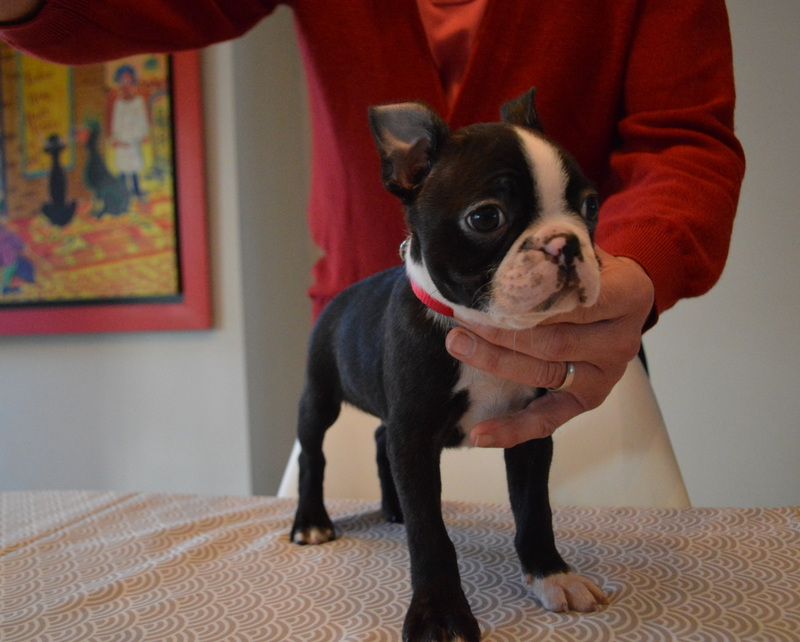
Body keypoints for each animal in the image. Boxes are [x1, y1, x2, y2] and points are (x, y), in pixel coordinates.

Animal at [290, 88, 607, 641]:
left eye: (590, 206)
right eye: (486, 218)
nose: (566, 243)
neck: (485, 326)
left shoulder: (529, 433)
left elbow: (535, 509)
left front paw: (552, 575)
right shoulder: (415, 437)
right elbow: (430, 533)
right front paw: (439, 612)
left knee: (379, 438)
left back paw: (392, 507)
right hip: (319, 394)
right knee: (313, 452)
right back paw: (311, 520)